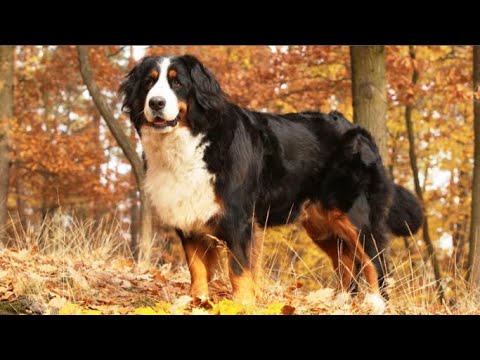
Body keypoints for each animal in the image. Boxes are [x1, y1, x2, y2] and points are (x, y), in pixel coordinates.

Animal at [121, 54, 424, 314]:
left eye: (177, 82)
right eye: (149, 82)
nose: (156, 103)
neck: (191, 142)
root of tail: (358, 129)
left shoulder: (238, 219)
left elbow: (239, 271)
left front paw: (241, 305)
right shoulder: (189, 217)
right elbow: (197, 269)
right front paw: (198, 303)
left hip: (355, 215)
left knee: (375, 259)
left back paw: (376, 303)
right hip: (322, 224)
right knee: (346, 262)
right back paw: (339, 302)